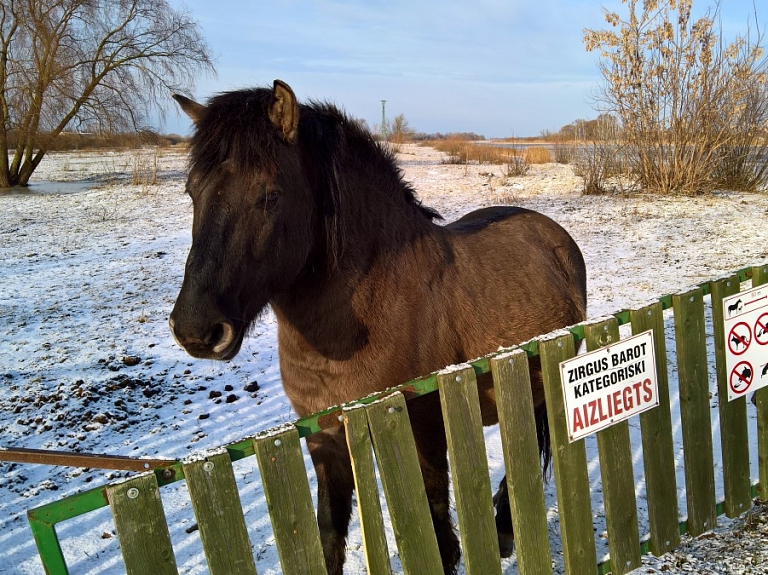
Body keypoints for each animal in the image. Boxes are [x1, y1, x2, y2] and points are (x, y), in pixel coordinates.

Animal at [170, 81, 588, 575]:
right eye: (191, 192)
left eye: (270, 195)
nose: (195, 328)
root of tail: (553, 232)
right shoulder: (326, 442)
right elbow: (329, 535)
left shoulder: (422, 431)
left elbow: (437, 529)